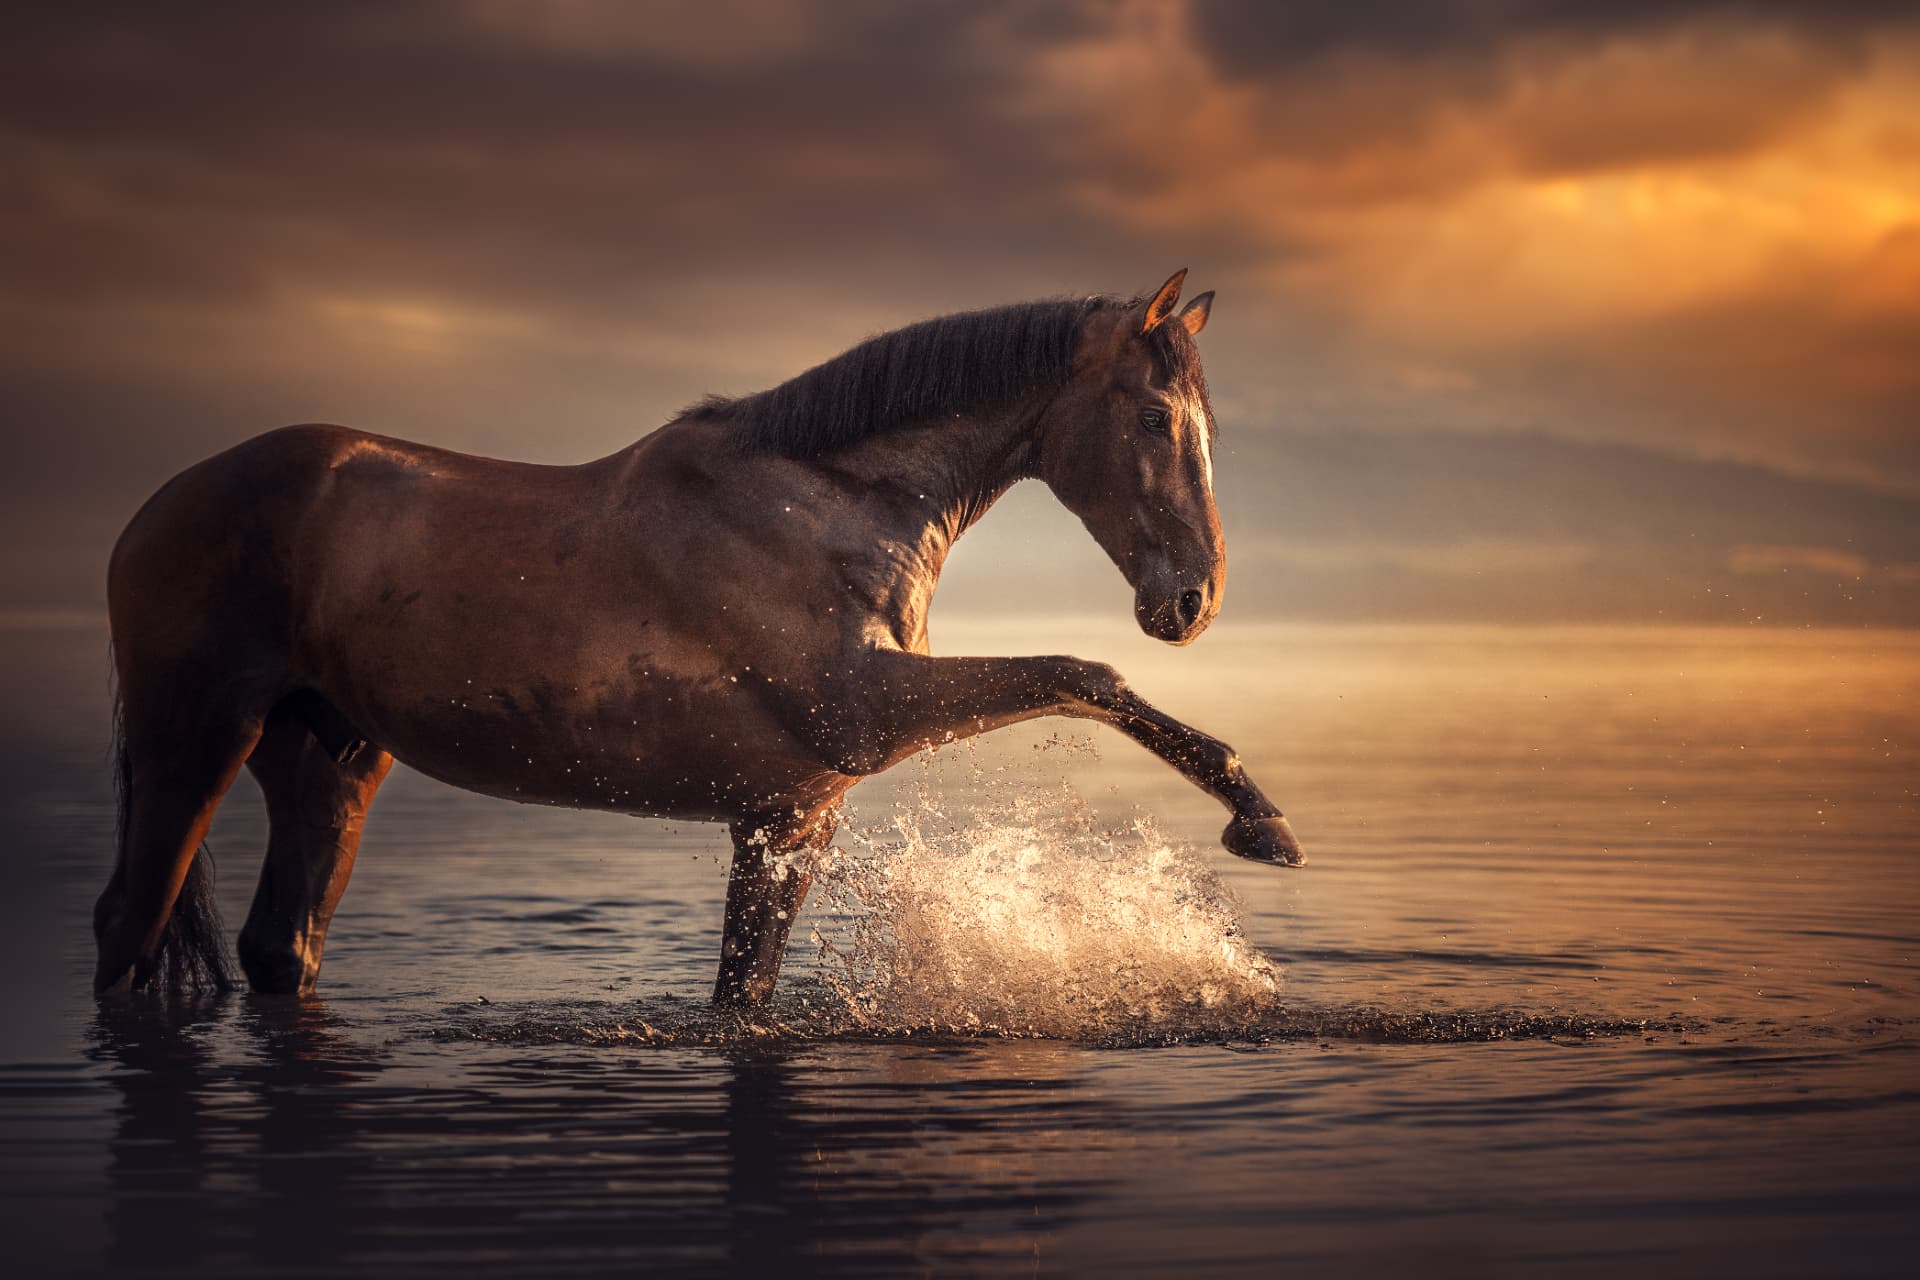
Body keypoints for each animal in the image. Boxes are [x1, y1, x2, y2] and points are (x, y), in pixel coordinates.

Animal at [92, 269, 1306, 1007]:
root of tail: (156, 507)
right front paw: (1259, 816)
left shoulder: (790, 811)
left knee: (279, 946)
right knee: (128, 926)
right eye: (1154, 418)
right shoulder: (862, 711)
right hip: (196, 742)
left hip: (330, 758)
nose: (1193, 599)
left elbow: (742, 999)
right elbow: (1081, 671)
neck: (827, 500)